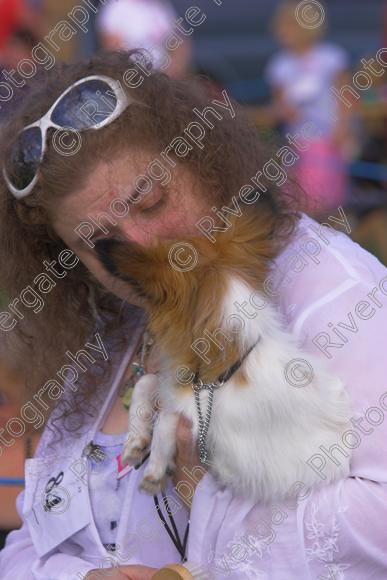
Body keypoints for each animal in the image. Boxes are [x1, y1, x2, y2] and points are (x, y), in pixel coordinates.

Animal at [96, 210, 352, 502]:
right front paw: (134, 441)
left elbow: (168, 416)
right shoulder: (174, 385)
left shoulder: (227, 455)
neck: (230, 366)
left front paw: (156, 468)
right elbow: (147, 383)